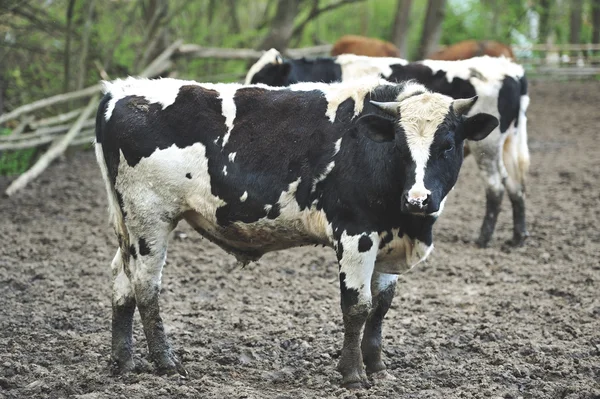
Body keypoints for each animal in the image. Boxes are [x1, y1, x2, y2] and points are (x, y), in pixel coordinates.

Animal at [95, 76, 496, 390]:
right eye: (400, 146)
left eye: (447, 145)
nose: (418, 199)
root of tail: (120, 91)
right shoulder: (356, 234)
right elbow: (357, 307)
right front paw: (353, 374)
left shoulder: (387, 245)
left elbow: (380, 308)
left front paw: (378, 368)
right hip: (150, 217)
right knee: (146, 286)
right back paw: (166, 362)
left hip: (128, 224)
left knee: (121, 280)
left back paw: (124, 361)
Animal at [246, 51, 532, 248]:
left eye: (264, 78)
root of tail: (512, 71)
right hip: (508, 143)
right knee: (515, 184)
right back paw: (518, 237)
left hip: (488, 147)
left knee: (495, 186)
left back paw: (484, 238)